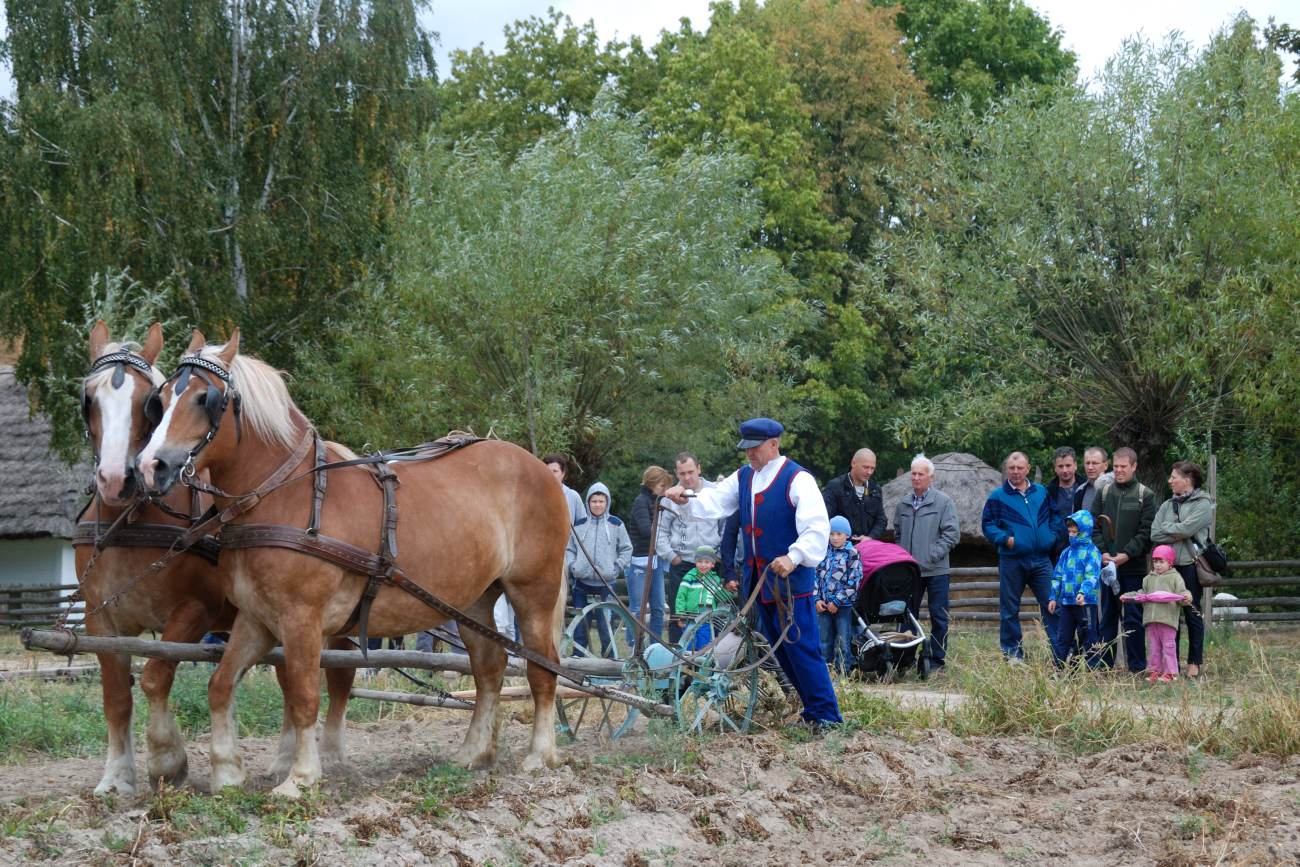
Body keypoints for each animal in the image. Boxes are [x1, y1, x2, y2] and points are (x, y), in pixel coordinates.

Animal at [79, 323, 356, 795]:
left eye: (145, 402)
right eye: (89, 399)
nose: (117, 479)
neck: (130, 522)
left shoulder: (196, 611)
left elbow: (155, 676)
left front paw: (167, 759)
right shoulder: (101, 622)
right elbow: (116, 699)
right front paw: (116, 777)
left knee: (339, 678)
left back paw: (332, 755)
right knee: (289, 680)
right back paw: (284, 761)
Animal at [133, 328, 574, 795]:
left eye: (206, 399)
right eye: (162, 399)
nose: (150, 466)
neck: (285, 495)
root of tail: (540, 469)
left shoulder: (301, 620)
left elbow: (305, 697)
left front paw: (300, 779)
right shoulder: (258, 618)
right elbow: (220, 685)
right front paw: (227, 773)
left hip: (533, 592)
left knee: (542, 670)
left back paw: (539, 756)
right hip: (472, 601)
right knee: (490, 667)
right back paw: (473, 754)